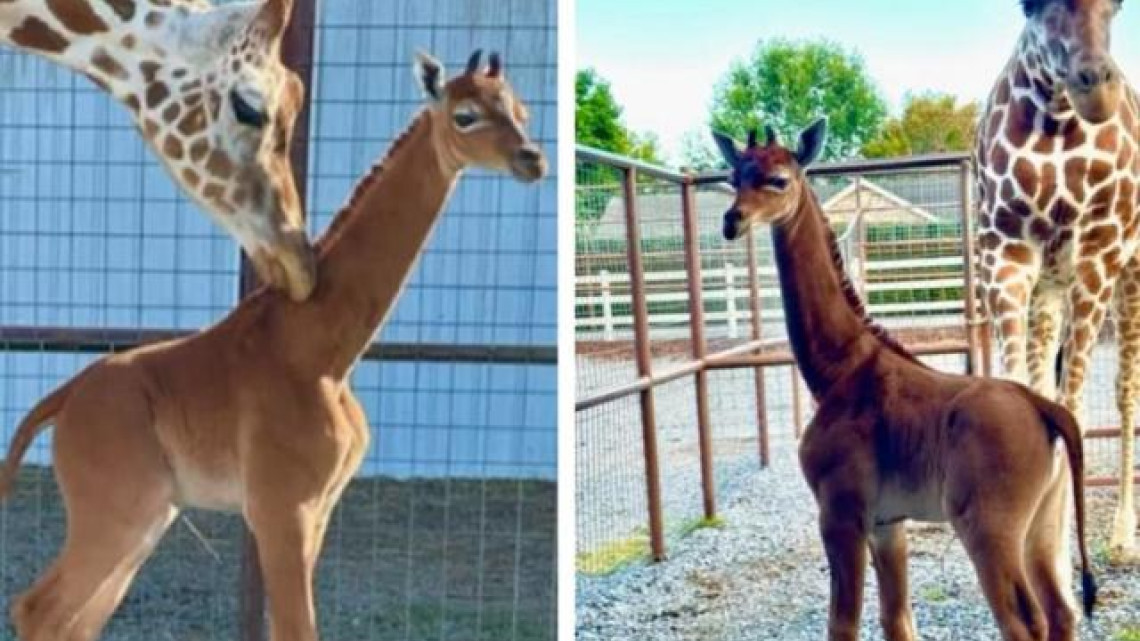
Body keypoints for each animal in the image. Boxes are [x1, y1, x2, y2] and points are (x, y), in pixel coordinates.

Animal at [0, 49, 545, 641]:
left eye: (522, 111)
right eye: (465, 115)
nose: (532, 160)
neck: (323, 351)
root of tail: (63, 401)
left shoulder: (318, 510)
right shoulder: (282, 507)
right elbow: (295, 626)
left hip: (148, 516)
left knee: (70, 619)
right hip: (118, 510)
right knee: (38, 608)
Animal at [714, 120, 1094, 641]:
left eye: (778, 180)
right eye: (734, 177)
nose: (732, 221)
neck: (837, 370)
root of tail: (1048, 409)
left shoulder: (841, 513)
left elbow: (844, 624)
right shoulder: (886, 522)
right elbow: (897, 620)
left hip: (988, 528)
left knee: (1025, 622)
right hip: (1044, 522)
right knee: (1062, 612)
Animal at [975, 0, 1140, 560]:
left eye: (1117, 7)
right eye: (1028, 6)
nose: (1095, 87)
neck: (1057, 122)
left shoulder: (1099, 252)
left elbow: (1074, 408)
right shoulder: (1005, 255)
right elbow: (1026, 395)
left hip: (1128, 271)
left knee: (1125, 391)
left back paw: (1123, 537)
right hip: (1051, 285)